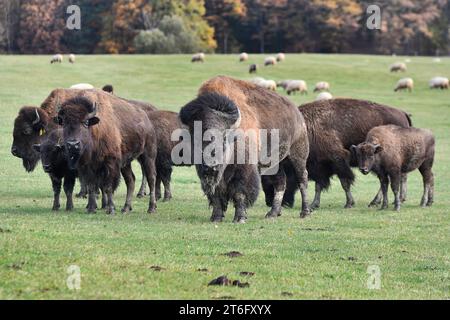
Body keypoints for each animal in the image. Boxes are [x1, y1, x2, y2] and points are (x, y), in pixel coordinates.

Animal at [179, 75, 310, 222]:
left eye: (224, 137)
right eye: (195, 138)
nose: (211, 167)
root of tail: (297, 114)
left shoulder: (243, 169)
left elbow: (239, 192)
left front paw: (240, 218)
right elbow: (217, 194)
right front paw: (216, 217)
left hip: (297, 155)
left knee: (302, 179)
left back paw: (305, 212)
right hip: (274, 163)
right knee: (280, 181)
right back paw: (272, 214)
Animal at [262, 99, 414, 211]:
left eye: (270, 181)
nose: (269, 202)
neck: (309, 129)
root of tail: (403, 113)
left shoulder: (338, 162)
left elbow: (344, 183)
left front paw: (349, 203)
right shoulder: (320, 166)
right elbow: (319, 185)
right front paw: (314, 204)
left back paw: (381, 201)